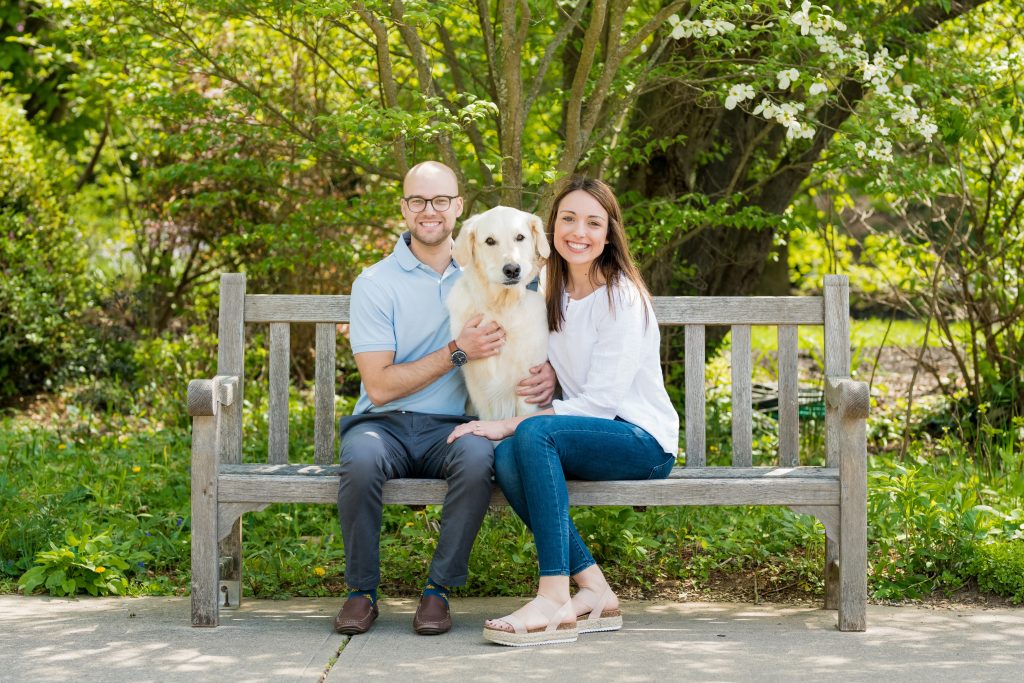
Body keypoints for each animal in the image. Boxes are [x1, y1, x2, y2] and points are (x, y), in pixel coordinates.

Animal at [448, 204, 552, 421]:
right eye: (490, 241)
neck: (502, 307)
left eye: (520, 237)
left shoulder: (528, 382)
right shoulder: (479, 388)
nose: (512, 270)